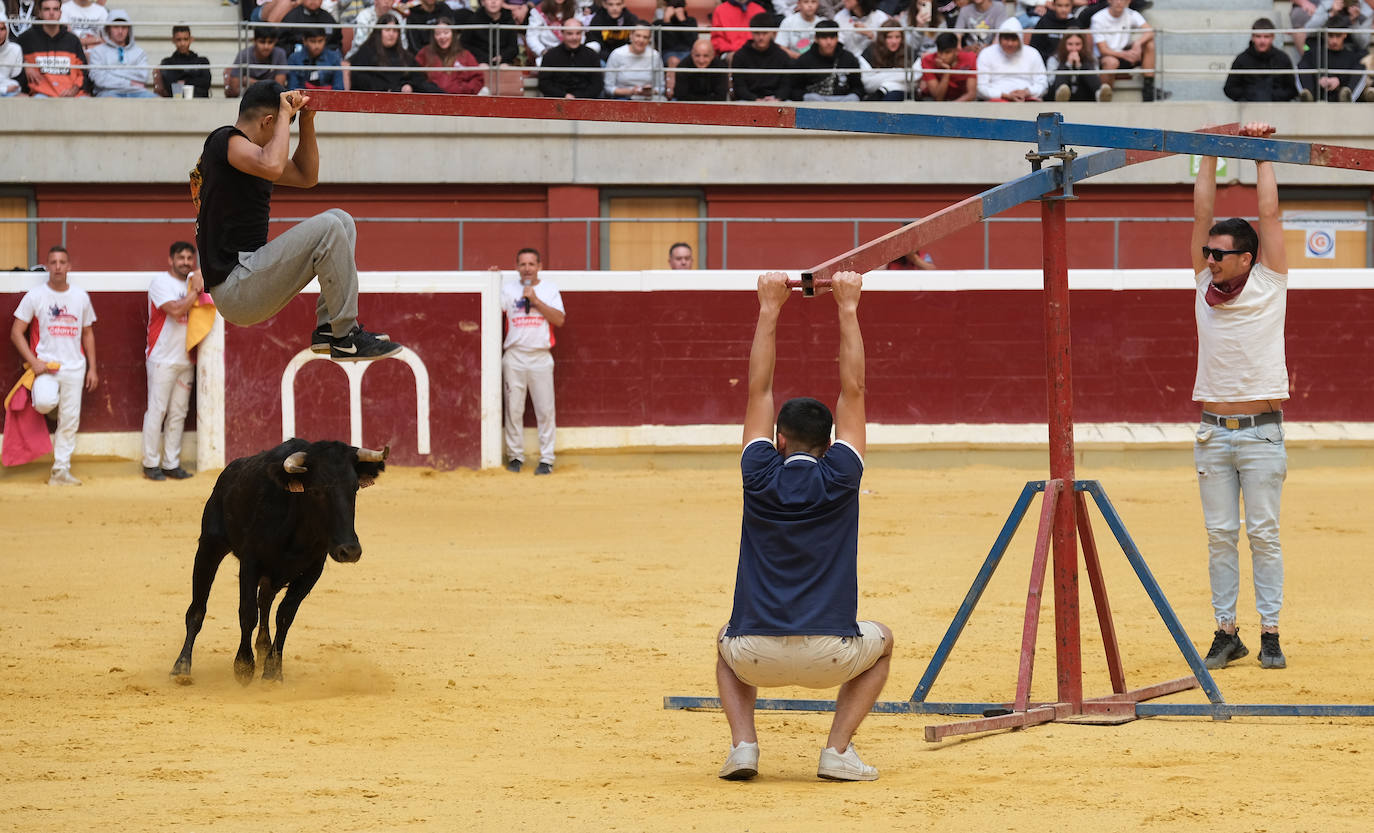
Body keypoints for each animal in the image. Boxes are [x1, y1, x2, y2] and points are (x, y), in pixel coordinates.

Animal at [171, 439, 390, 690]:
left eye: (353, 488)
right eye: (315, 490)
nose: (350, 551)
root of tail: (228, 473)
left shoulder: (312, 571)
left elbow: (285, 615)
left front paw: (272, 671)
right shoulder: (250, 563)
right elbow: (248, 613)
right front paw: (243, 667)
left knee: (265, 600)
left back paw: (263, 648)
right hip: (210, 546)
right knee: (198, 608)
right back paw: (181, 667)